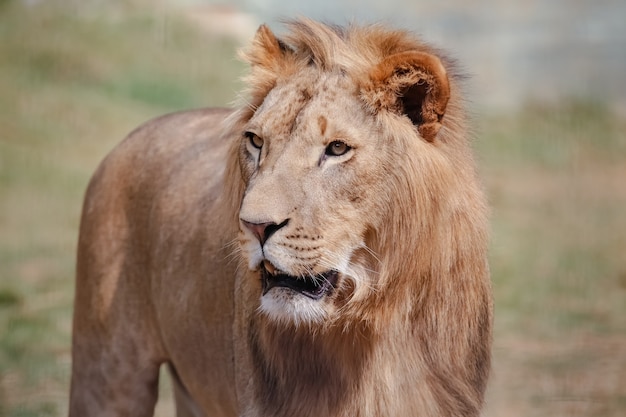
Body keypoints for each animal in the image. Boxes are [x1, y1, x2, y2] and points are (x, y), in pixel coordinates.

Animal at [69, 17, 492, 414]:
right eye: (256, 141)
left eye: (337, 149)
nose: (254, 226)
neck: (377, 326)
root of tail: (139, 131)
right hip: (107, 370)